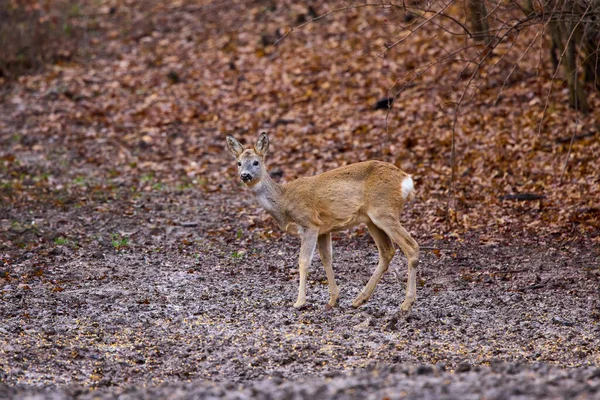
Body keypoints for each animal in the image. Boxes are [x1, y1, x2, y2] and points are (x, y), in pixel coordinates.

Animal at [227, 133, 420, 314]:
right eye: (238, 163)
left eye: (256, 162)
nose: (245, 175)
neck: (284, 200)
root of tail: (406, 180)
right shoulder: (324, 229)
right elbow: (326, 258)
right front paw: (333, 299)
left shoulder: (310, 223)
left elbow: (304, 261)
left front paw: (299, 302)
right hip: (372, 219)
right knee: (387, 251)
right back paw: (359, 300)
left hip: (384, 212)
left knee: (411, 246)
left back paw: (406, 303)